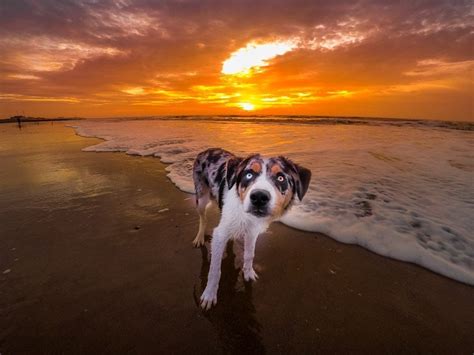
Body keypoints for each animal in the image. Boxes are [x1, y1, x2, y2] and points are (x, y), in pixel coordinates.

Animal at [193, 147, 312, 308]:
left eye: (281, 178)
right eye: (248, 174)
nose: (259, 197)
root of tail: (206, 150)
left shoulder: (252, 231)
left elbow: (249, 254)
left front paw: (248, 273)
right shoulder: (219, 234)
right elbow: (215, 270)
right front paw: (209, 294)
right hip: (201, 197)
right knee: (203, 218)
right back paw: (199, 237)